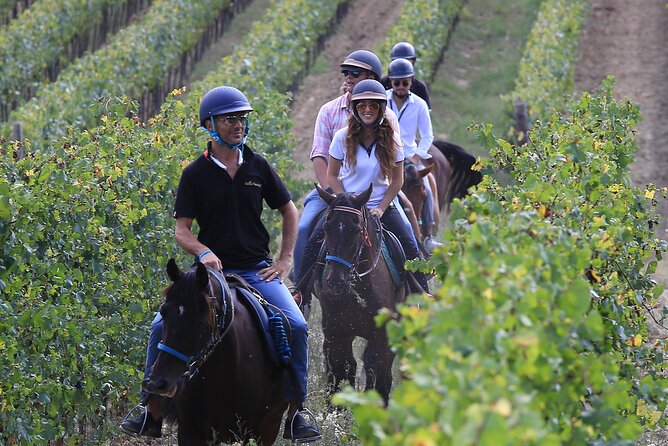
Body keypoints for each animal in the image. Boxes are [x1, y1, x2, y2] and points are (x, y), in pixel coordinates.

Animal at [312, 185, 404, 404]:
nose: (335, 283)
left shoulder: (383, 336)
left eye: (356, 230)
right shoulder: (336, 332)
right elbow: (341, 373)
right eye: (326, 228)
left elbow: (379, 378)